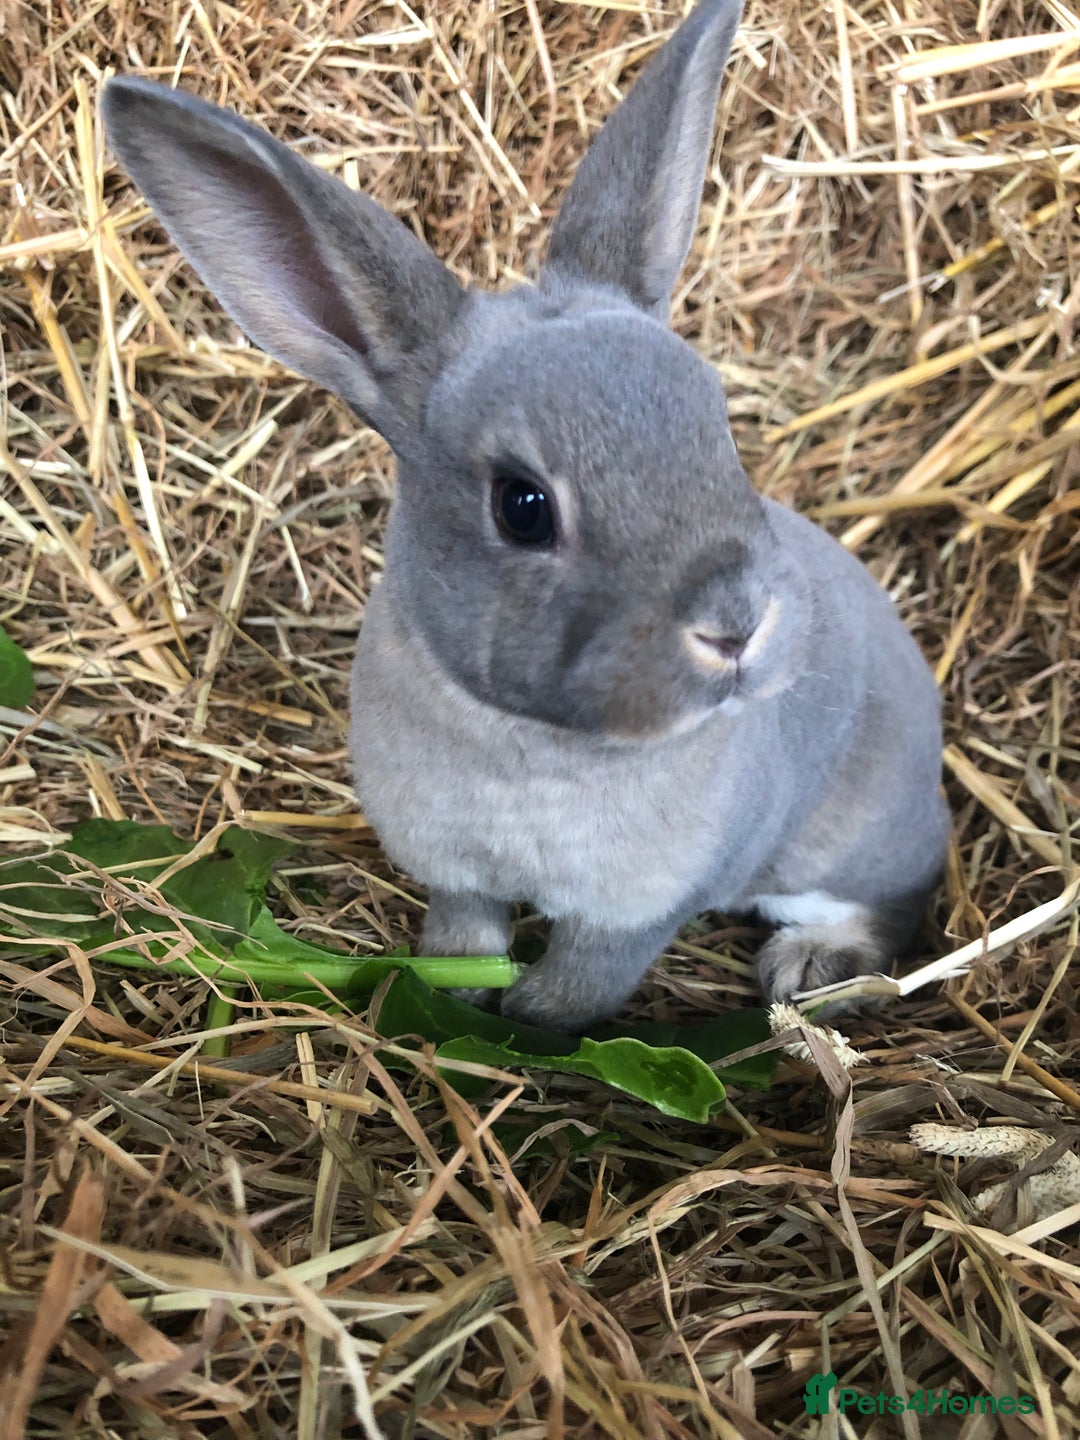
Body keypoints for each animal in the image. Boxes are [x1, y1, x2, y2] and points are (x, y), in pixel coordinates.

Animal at [102, 0, 948, 1033]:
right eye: (524, 506)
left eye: (717, 432)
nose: (736, 627)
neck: (535, 748)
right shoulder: (456, 873)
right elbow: (464, 936)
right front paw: (460, 1000)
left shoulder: (636, 913)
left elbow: (579, 989)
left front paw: (529, 1027)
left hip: (851, 844)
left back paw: (811, 970)